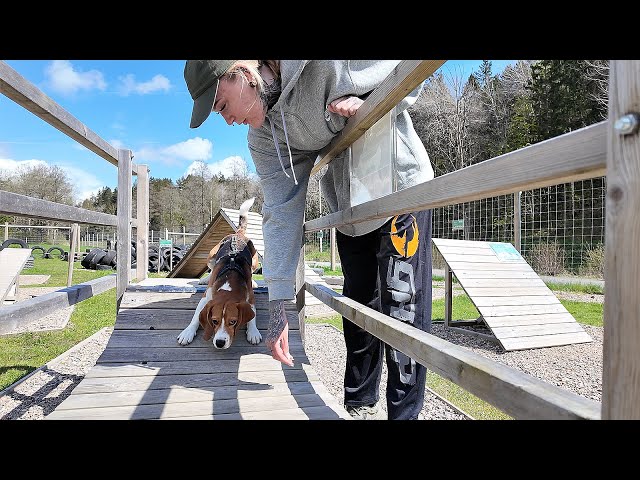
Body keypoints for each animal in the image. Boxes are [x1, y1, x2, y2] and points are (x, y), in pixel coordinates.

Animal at [176, 198, 262, 348]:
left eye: (233, 322)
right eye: (214, 321)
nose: (220, 343)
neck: (229, 279)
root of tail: (237, 234)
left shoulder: (250, 298)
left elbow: (253, 315)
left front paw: (253, 332)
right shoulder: (206, 298)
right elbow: (196, 317)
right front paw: (188, 332)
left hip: (254, 260)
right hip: (211, 256)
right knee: (211, 268)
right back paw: (205, 279)